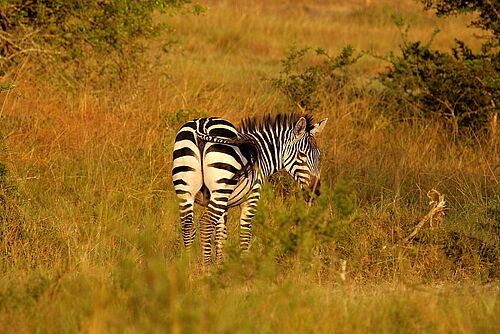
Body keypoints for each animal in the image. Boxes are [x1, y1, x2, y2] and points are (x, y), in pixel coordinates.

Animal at [172, 113, 328, 264]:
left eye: (318, 155)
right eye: (301, 154)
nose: (315, 191)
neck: (262, 154)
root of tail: (202, 124)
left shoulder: (224, 206)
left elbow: (221, 235)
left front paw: (220, 266)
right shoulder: (252, 196)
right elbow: (245, 234)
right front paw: (243, 267)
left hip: (185, 190)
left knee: (187, 226)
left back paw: (187, 266)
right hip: (220, 188)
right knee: (205, 223)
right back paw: (206, 266)